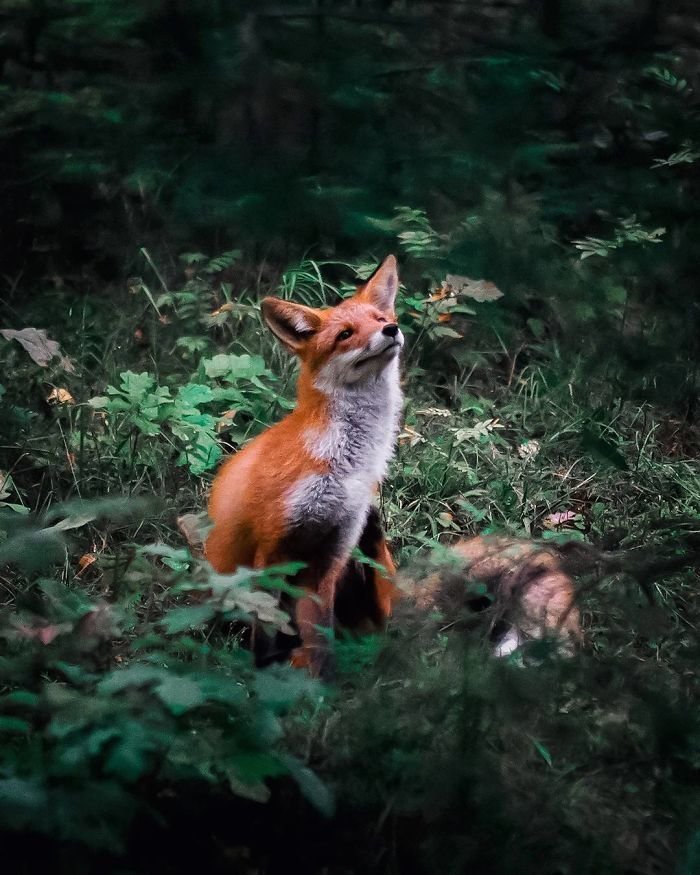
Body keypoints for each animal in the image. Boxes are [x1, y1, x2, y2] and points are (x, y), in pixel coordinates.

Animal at [206, 255, 404, 676]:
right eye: (345, 334)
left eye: (380, 319)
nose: (392, 329)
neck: (343, 464)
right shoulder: (272, 548)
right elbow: (266, 629)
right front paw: (263, 675)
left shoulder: (330, 557)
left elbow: (320, 637)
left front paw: (319, 682)